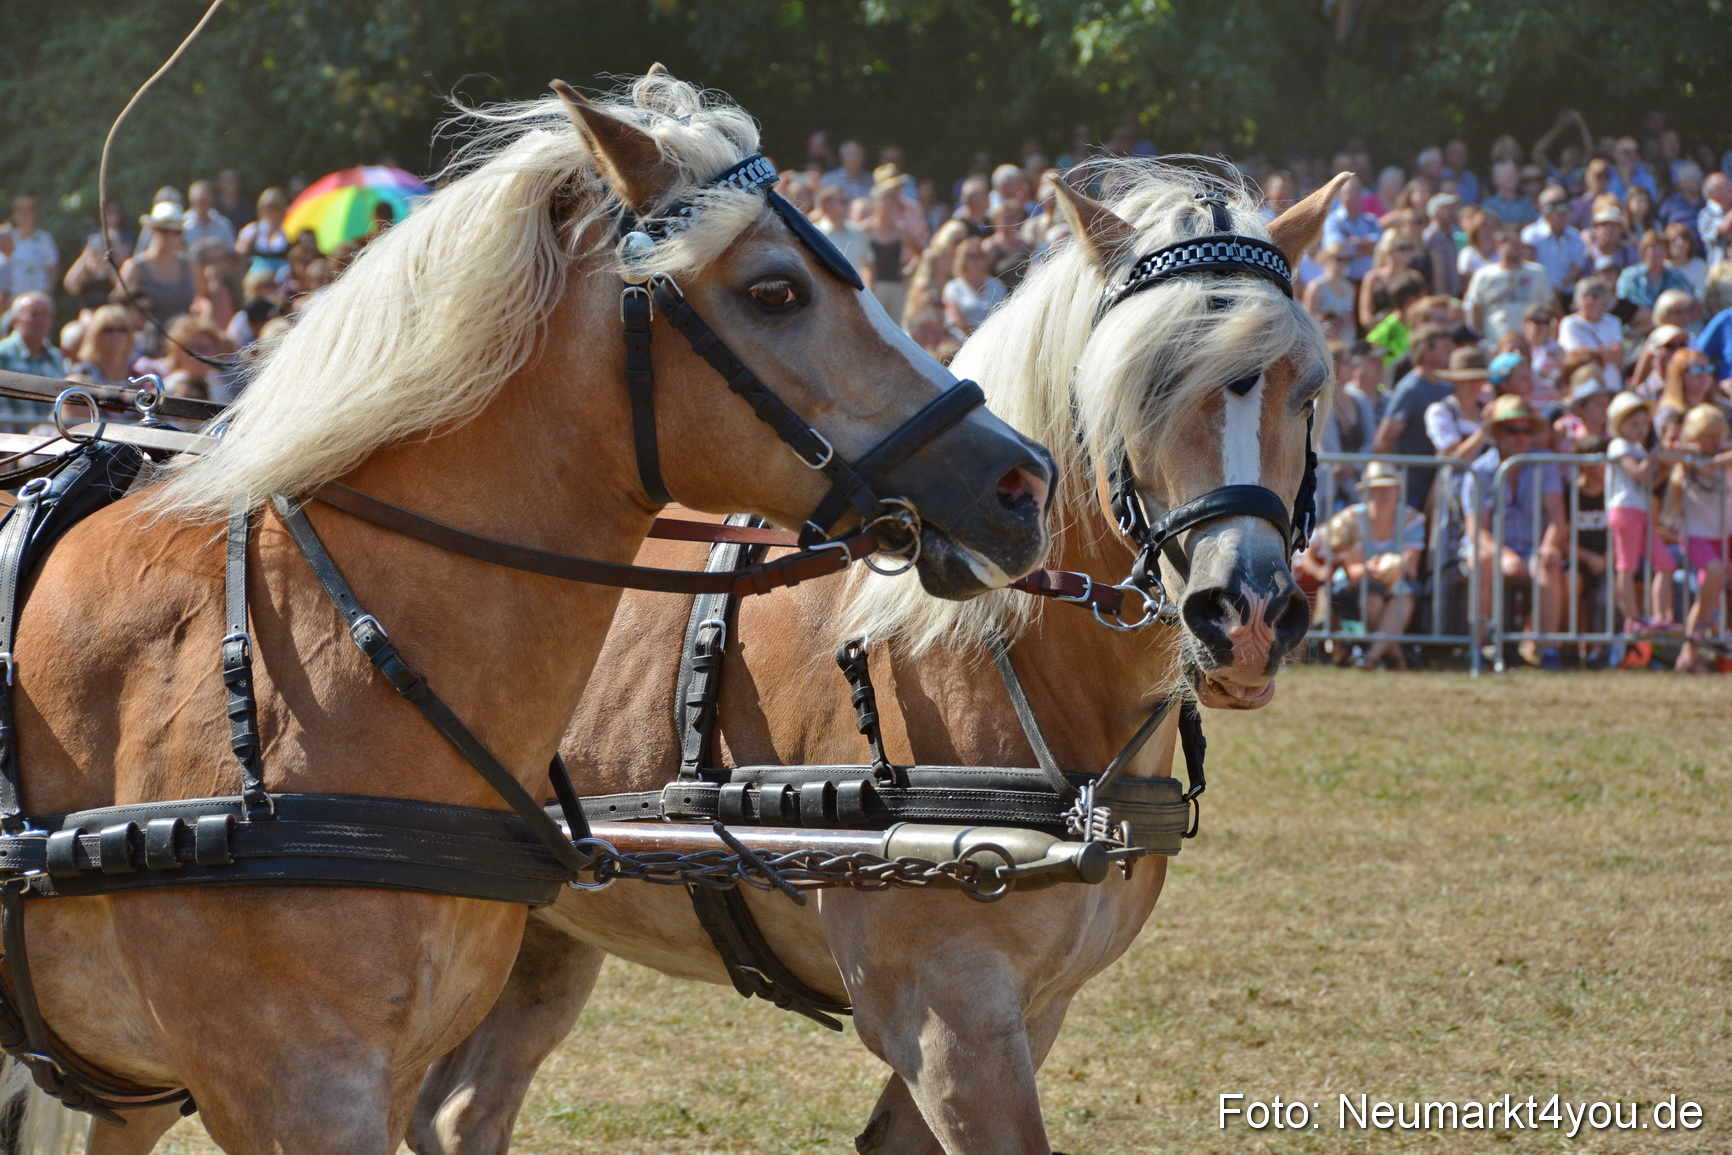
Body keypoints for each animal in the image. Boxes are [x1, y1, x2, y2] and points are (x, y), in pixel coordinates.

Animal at [407, 162, 1349, 1154]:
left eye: (1307, 389)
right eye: (1147, 380)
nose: (1246, 612)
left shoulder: (1029, 1010)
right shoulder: (948, 1017)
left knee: (462, 1108)